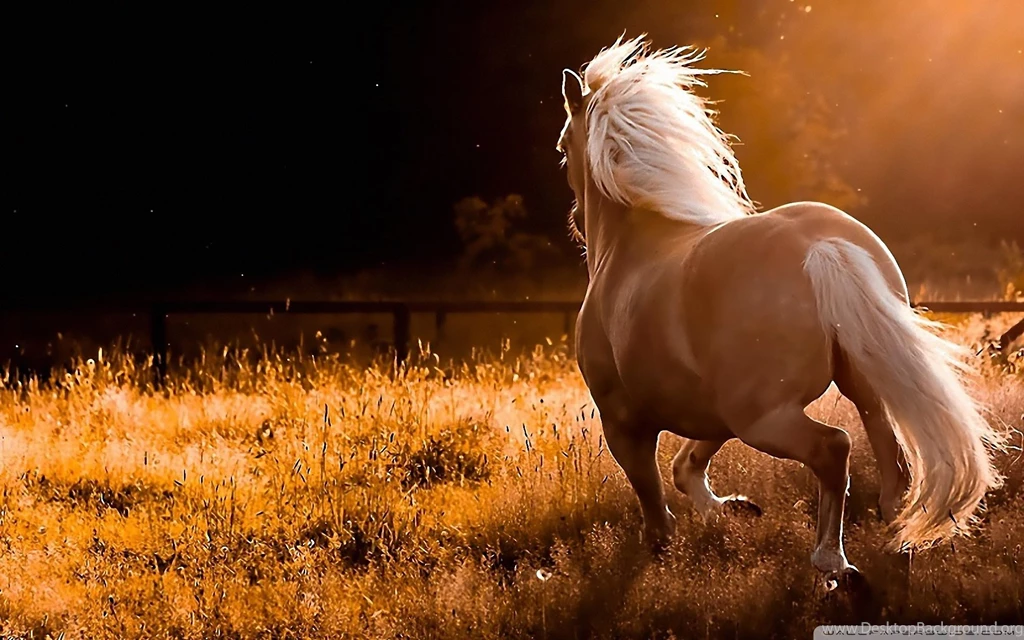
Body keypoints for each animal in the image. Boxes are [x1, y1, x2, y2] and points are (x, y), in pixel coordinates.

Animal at [555, 35, 1005, 581]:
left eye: (563, 147)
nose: (575, 223)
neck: (628, 248)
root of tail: (821, 247)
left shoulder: (623, 420)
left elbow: (653, 498)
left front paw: (662, 549)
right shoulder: (711, 411)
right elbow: (686, 468)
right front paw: (731, 509)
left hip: (764, 419)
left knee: (834, 448)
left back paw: (833, 562)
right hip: (853, 388)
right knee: (891, 458)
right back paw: (894, 536)